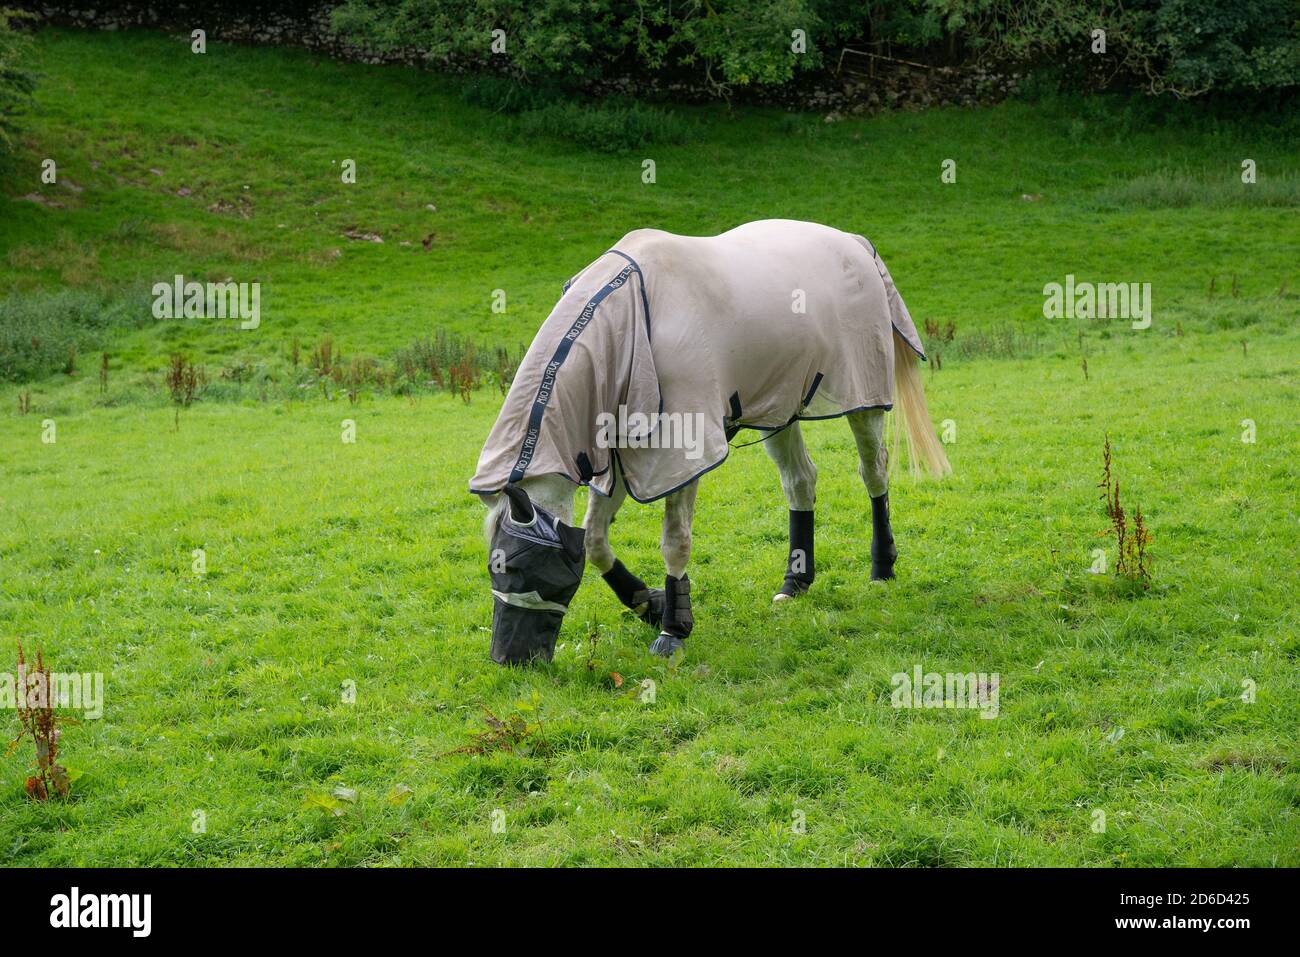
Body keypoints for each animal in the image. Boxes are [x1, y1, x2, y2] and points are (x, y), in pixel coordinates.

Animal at [473, 217, 951, 665]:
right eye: (496, 568)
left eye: (524, 567)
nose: (508, 658)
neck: (631, 317)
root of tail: (855, 243)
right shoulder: (622, 457)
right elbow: (593, 541)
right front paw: (649, 604)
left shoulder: (680, 453)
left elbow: (675, 540)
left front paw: (674, 628)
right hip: (779, 409)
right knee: (801, 482)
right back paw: (795, 582)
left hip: (862, 397)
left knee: (873, 472)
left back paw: (882, 567)